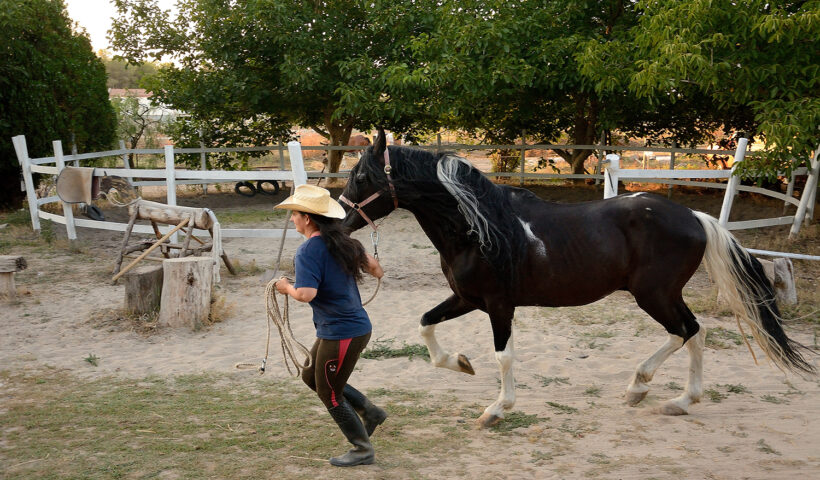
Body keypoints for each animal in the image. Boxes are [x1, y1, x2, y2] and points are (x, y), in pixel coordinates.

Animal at [338, 130, 812, 428]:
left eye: (361, 175)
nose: (337, 221)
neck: (478, 227)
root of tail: (694, 216)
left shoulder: (498, 305)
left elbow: (504, 357)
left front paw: (496, 410)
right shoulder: (466, 298)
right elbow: (425, 325)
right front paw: (461, 363)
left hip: (653, 294)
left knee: (687, 330)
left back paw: (645, 390)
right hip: (663, 294)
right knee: (695, 332)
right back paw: (671, 399)